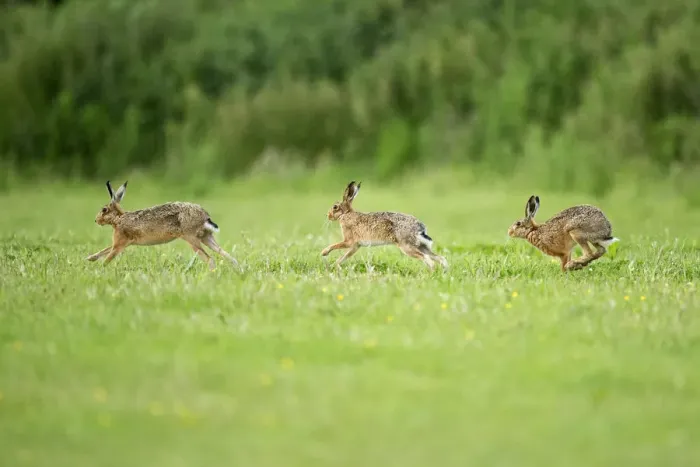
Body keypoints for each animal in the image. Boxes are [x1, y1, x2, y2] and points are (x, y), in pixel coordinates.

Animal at [86, 180, 240, 271]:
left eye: (104, 210)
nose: (96, 220)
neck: (118, 219)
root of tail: (205, 217)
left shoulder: (119, 243)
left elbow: (108, 256)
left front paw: (99, 269)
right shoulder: (120, 243)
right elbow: (104, 250)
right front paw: (89, 259)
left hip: (191, 238)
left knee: (209, 259)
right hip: (206, 237)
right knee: (225, 254)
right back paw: (238, 270)